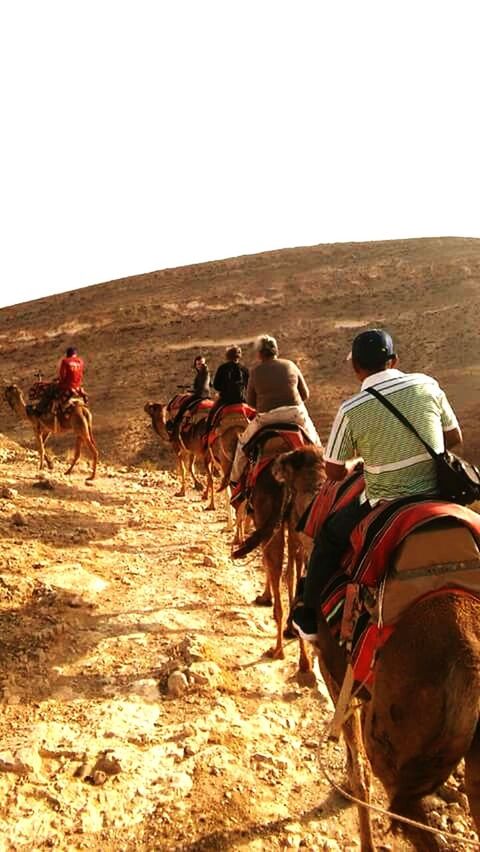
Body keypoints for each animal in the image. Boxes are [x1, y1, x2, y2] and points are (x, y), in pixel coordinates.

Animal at [232, 432, 312, 672]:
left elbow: (267, 563)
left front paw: (264, 597)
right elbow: (292, 574)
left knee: (276, 568)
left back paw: (277, 650)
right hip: (297, 525)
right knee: (293, 573)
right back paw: (303, 659)